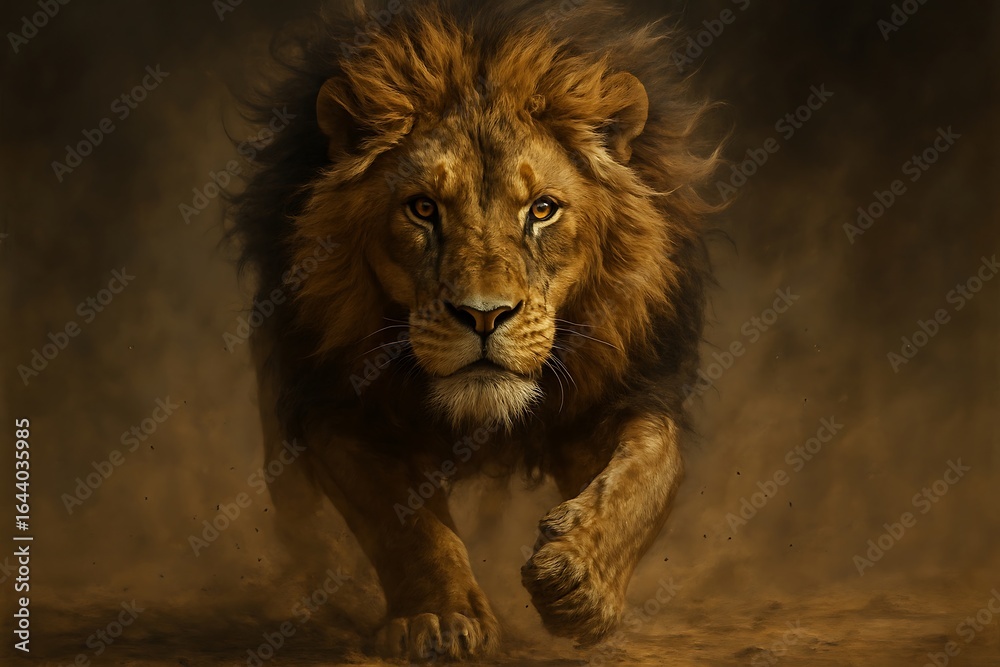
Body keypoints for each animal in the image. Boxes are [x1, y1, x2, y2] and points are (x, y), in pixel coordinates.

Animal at [229, 0, 721, 660]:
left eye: (542, 209)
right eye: (423, 208)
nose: (484, 316)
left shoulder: (620, 391)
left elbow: (645, 475)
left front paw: (577, 582)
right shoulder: (340, 406)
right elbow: (407, 525)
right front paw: (441, 618)